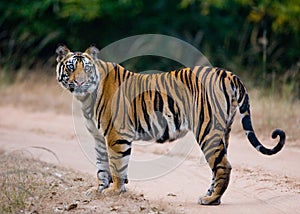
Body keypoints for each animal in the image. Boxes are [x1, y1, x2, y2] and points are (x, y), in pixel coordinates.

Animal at [55, 45, 284, 206]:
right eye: (70, 68)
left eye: (86, 68)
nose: (80, 82)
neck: (86, 98)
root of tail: (227, 73)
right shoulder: (99, 138)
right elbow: (102, 166)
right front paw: (99, 190)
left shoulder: (116, 135)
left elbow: (116, 165)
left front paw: (114, 191)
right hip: (223, 131)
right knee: (219, 165)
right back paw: (212, 197)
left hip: (207, 130)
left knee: (223, 166)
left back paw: (210, 200)